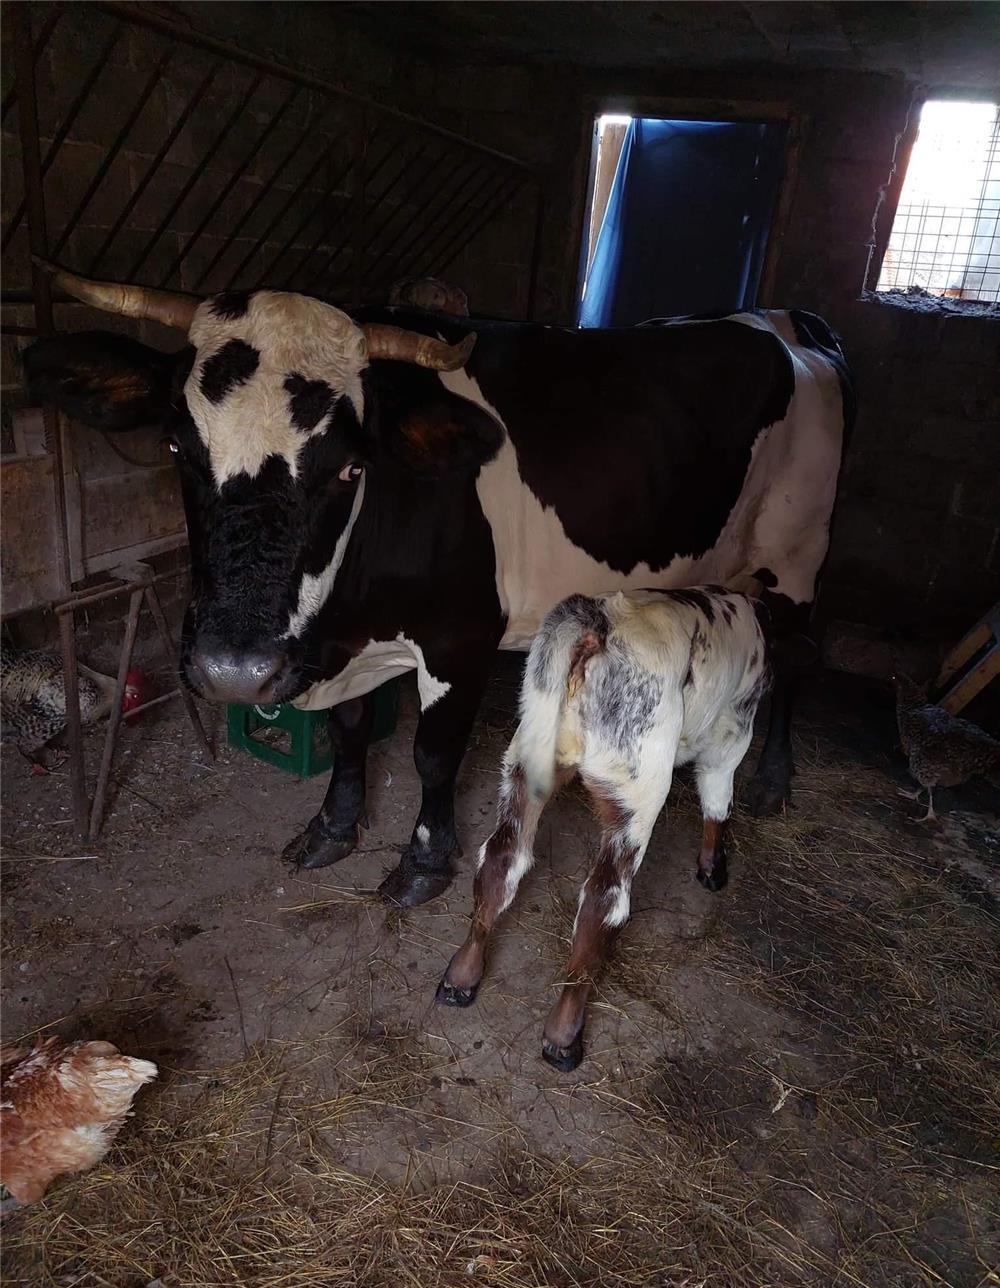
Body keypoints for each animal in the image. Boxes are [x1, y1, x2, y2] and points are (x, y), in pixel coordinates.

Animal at [23, 262, 853, 910]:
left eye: (348, 467)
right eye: (175, 446)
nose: (235, 667)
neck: (351, 612)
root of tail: (787, 318)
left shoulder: (461, 638)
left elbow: (432, 753)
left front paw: (422, 863)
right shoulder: (348, 648)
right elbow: (349, 731)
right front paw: (331, 827)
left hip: (801, 550)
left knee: (797, 659)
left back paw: (773, 779)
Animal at [438, 586, 770, 1070]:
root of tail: (599, 620)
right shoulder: (735, 728)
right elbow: (717, 797)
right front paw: (712, 867)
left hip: (525, 760)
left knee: (501, 858)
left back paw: (461, 977)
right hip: (638, 788)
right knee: (602, 900)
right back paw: (563, 1035)